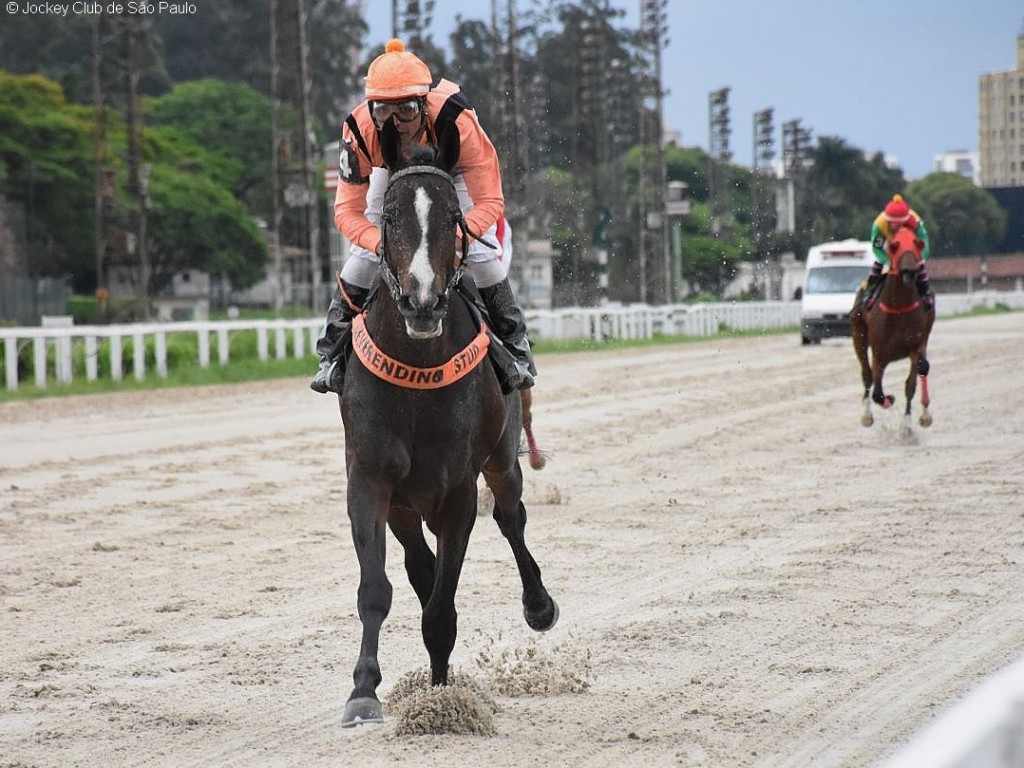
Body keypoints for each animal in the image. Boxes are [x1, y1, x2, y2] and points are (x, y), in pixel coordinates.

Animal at [337, 124, 561, 729]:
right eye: (390, 217)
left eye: (453, 218)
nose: (422, 300)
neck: (417, 372)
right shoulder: (371, 481)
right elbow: (378, 589)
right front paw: (363, 691)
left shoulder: (457, 488)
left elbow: (442, 607)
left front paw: (441, 700)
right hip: (405, 504)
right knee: (420, 566)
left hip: (502, 457)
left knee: (511, 518)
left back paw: (539, 605)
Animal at [851, 228, 933, 434]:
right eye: (895, 246)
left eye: (918, 244)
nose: (909, 272)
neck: (898, 309)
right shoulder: (879, 354)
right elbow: (877, 391)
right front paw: (888, 400)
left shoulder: (916, 346)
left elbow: (911, 384)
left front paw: (906, 425)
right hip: (858, 335)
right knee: (867, 376)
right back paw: (867, 415)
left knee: (923, 369)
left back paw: (925, 414)